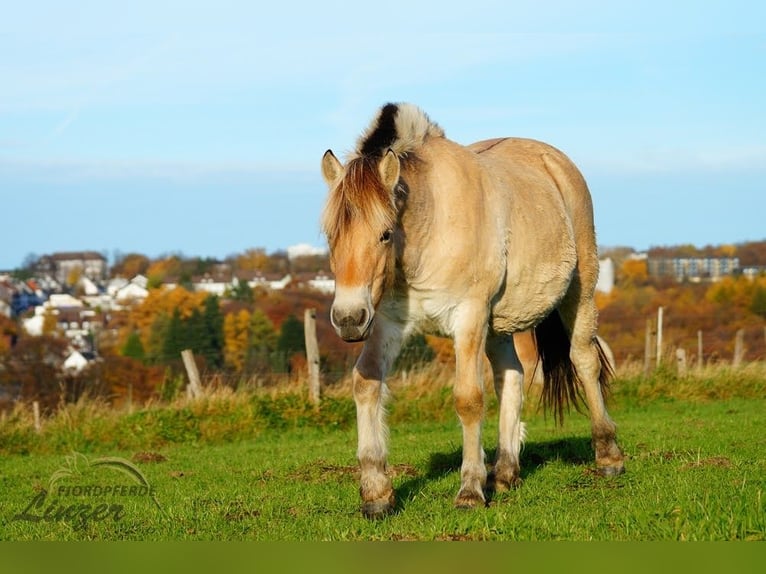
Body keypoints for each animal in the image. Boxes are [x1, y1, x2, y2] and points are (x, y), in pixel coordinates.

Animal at [320, 103, 624, 518]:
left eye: (384, 234)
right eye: (331, 236)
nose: (348, 319)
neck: (430, 226)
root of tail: (555, 162)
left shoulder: (468, 316)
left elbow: (468, 399)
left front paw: (469, 490)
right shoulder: (386, 321)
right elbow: (366, 384)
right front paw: (376, 493)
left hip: (579, 293)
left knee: (584, 360)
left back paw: (608, 455)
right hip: (499, 325)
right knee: (512, 376)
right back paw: (506, 472)